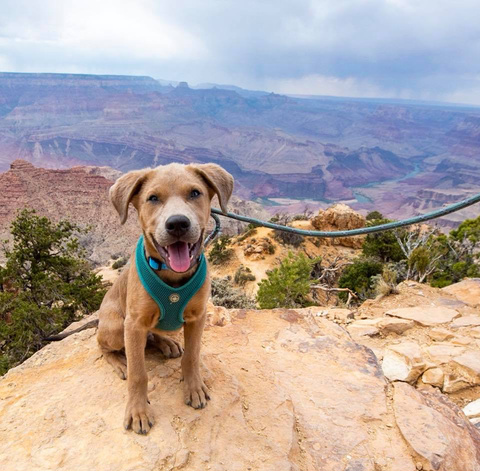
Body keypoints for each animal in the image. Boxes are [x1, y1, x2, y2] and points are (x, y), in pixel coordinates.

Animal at [96, 162, 234, 436]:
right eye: (152, 198)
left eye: (195, 193)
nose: (178, 224)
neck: (173, 277)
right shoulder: (133, 324)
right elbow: (139, 373)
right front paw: (138, 411)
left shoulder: (198, 317)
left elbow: (192, 356)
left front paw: (194, 388)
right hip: (116, 328)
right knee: (104, 347)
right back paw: (119, 362)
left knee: (153, 335)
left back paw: (167, 343)